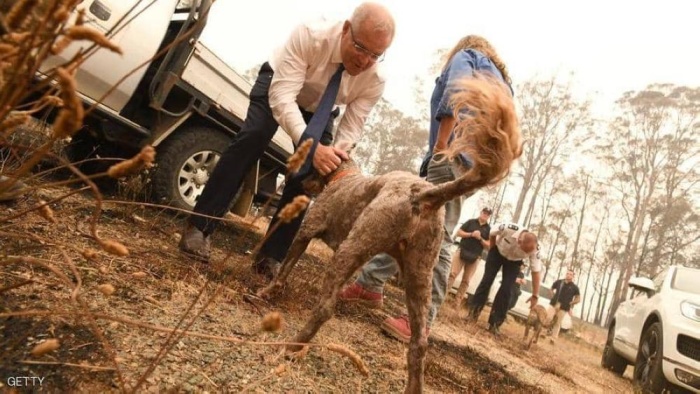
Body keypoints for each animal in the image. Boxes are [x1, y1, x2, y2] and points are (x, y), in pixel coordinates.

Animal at [258, 77, 520, 394]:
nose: (291, 174)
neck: (345, 177)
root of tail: (423, 195)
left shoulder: (306, 232)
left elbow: (285, 269)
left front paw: (268, 291)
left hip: (352, 249)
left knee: (325, 309)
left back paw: (292, 346)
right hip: (419, 274)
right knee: (419, 343)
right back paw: (413, 386)